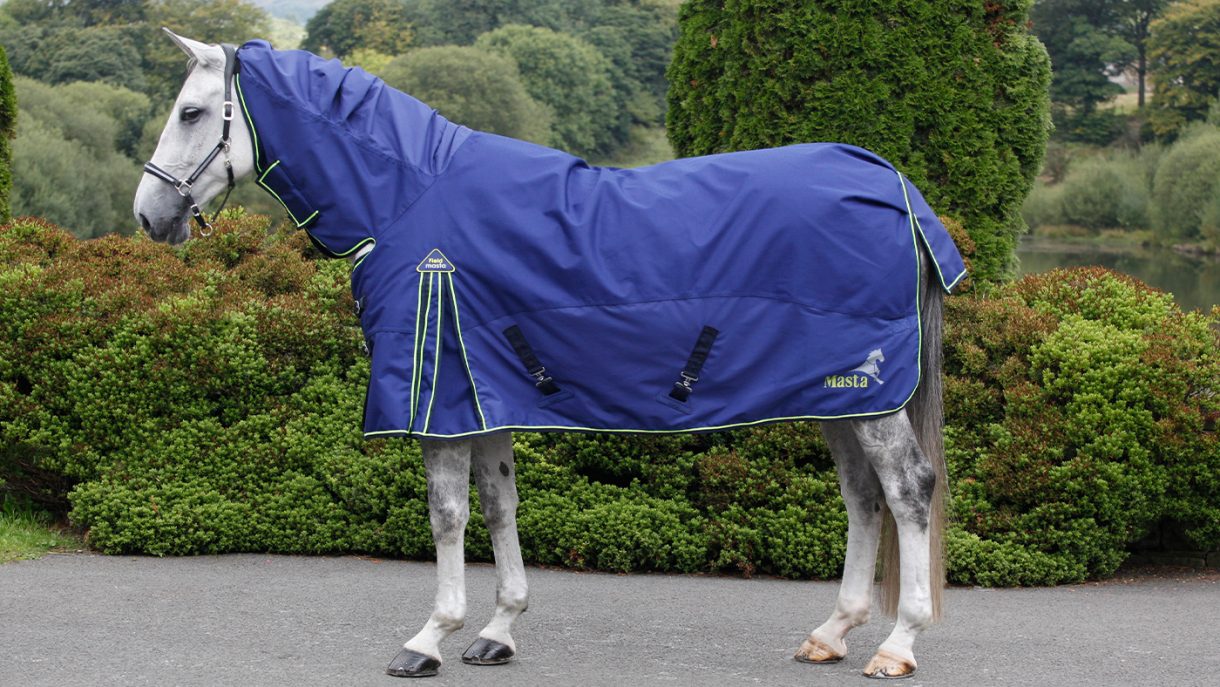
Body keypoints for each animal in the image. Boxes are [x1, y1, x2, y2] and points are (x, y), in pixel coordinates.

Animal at [134, 31, 965, 680]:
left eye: (191, 112)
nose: (148, 216)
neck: (405, 198)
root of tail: (889, 180)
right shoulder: (484, 393)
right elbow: (499, 505)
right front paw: (498, 631)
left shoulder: (441, 400)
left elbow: (447, 514)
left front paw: (429, 638)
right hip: (840, 395)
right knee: (862, 497)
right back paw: (831, 631)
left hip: (870, 395)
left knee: (909, 490)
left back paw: (897, 644)